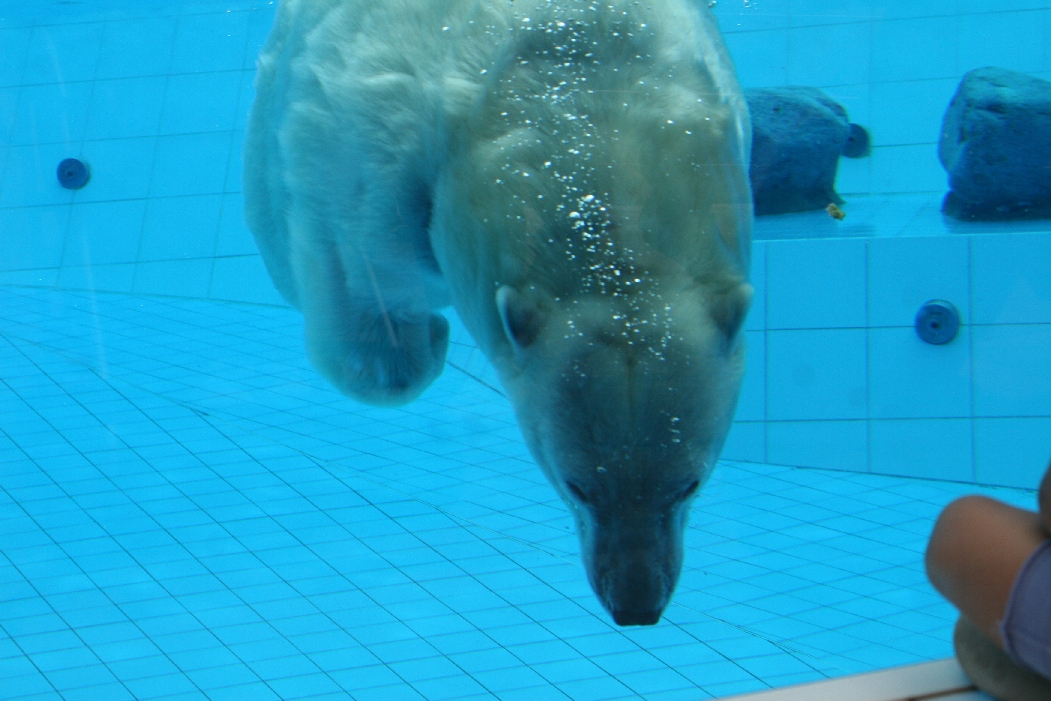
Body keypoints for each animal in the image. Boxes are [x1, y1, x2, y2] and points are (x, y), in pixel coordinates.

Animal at [244, 0, 753, 626]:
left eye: (688, 484)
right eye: (577, 484)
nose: (636, 605)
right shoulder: (379, 138)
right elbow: (357, 273)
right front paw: (420, 344)